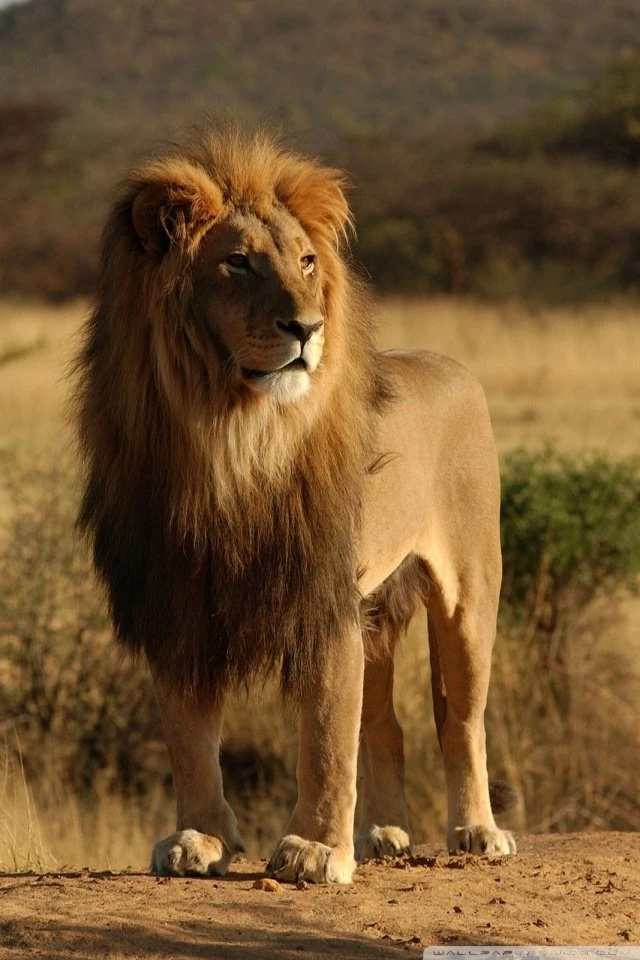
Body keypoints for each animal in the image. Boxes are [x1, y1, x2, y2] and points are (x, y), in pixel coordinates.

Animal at [74, 126, 515, 885]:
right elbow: (190, 735)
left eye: (307, 262)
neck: (230, 437)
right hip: (377, 609)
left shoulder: (321, 596)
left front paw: (314, 850)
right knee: (387, 723)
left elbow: (325, 736)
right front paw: (199, 839)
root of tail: (452, 366)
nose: (306, 327)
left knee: (460, 718)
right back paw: (383, 834)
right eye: (238, 264)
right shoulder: (177, 598)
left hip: (468, 591)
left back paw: (477, 831)